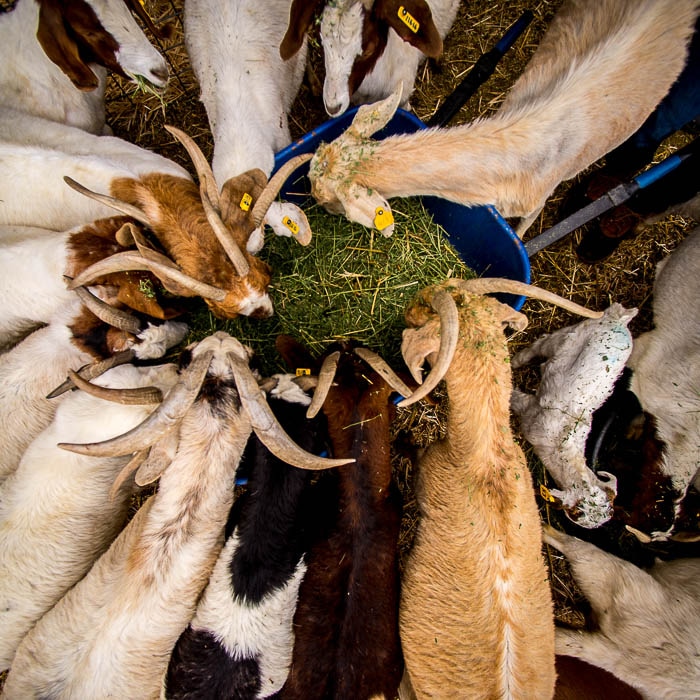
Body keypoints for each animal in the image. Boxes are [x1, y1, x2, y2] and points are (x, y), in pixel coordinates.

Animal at [510, 303, 638, 529]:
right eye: (577, 514)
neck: (564, 448)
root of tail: (619, 318)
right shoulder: (529, 411)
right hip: (568, 334)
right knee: (539, 344)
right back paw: (516, 360)